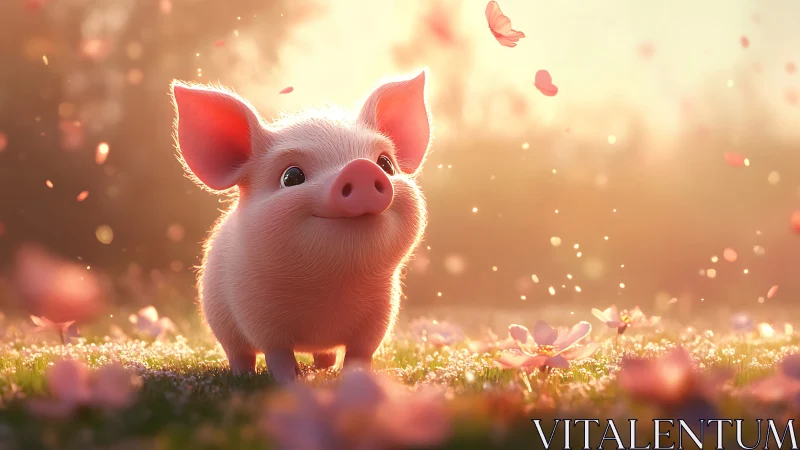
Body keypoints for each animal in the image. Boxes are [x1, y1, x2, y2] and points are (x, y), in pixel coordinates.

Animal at [170, 70, 432, 382]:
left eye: (385, 164)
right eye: (291, 176)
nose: (360, 168)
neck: (331, 287)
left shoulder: (380, 317)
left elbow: (359, 355)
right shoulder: (259, 317)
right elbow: (278, 355)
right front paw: (289, 383)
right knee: (240, 353)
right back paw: (244, 376)